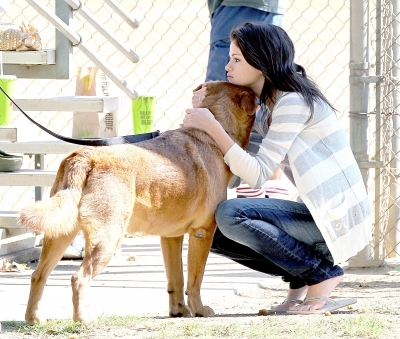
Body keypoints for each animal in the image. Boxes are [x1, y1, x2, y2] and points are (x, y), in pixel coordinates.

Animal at [18, 81, 256, 326]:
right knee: (79, 278)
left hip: (60, 234)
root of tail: (85, 158)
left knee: (38, 275)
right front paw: (199, 310)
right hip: (108, 238)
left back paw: (34, 318)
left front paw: (179, 310)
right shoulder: (202, 232)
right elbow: (194, 280)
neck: (211, 133)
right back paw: (82, 319)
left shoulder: (170, 237)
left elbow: (176, 279)